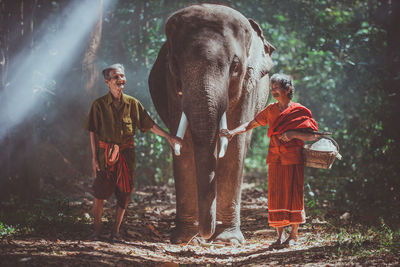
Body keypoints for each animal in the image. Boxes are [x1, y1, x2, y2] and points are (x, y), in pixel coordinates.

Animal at [148, 3, 274, 245]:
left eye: (235, 66)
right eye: (175, 62)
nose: (207, 236)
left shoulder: (248, 88)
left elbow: (235, 147)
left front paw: (228, 240)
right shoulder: (171, 85)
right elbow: (186, 145)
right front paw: (184, 239)